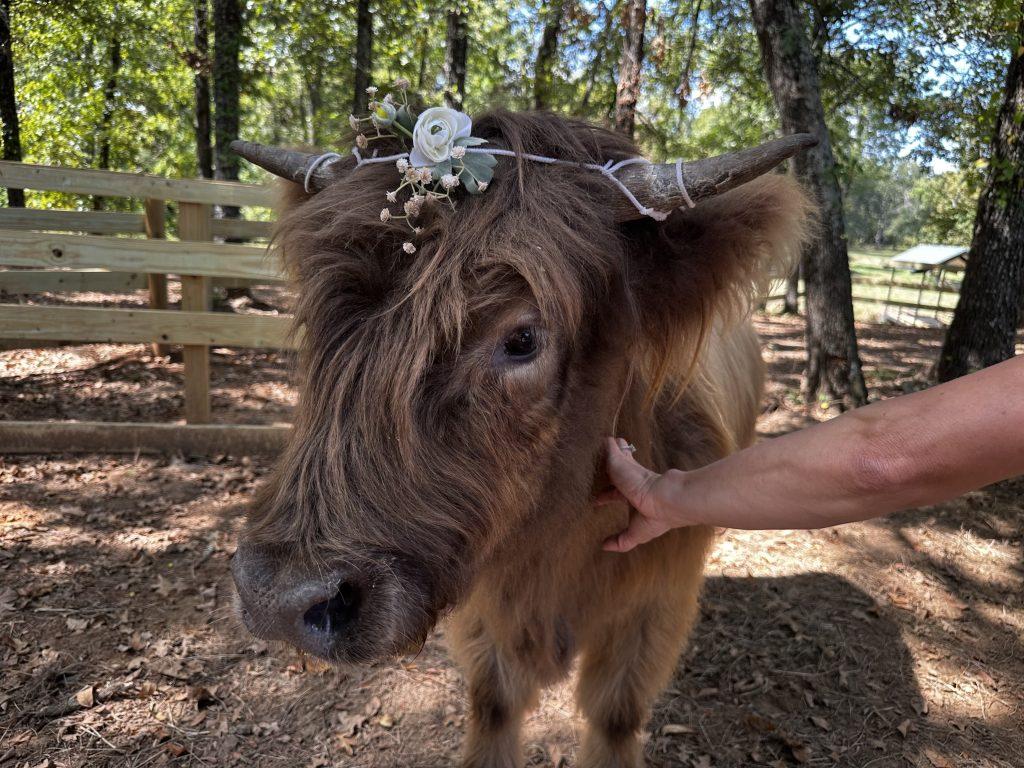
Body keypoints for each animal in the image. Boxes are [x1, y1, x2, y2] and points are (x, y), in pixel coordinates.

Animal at [230, 109, 813, 768]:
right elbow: (494, 703)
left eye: (523, 339)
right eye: (318, 317)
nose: (279, 597)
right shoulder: (484, 613)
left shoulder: (653, 609)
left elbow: (615, 716)